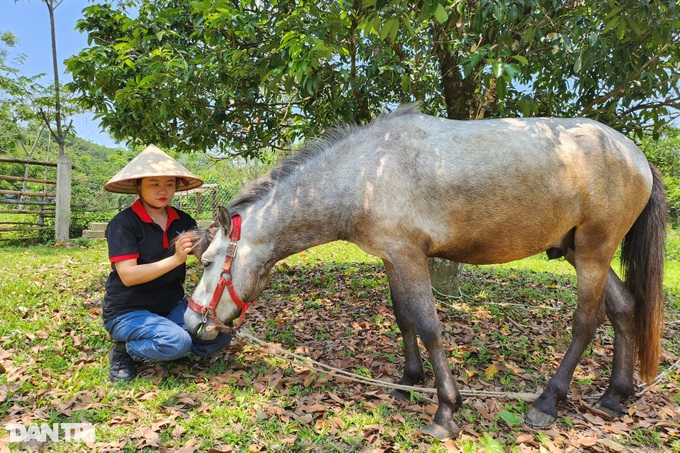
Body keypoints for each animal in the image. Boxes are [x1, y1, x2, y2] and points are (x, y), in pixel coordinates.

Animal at [183, 104, 668, 440]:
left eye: (207, 263)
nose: (190, 322)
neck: (366, 172)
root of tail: (636, 154)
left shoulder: (410, 256)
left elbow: (430, 327)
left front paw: (446, 412)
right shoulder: (392, 258)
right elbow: (404, 318)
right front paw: (408, 382)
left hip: (593, 253)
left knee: (586, 322)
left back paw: (548, 403)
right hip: (577, 252)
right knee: (624, 308)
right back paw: (614, 396)